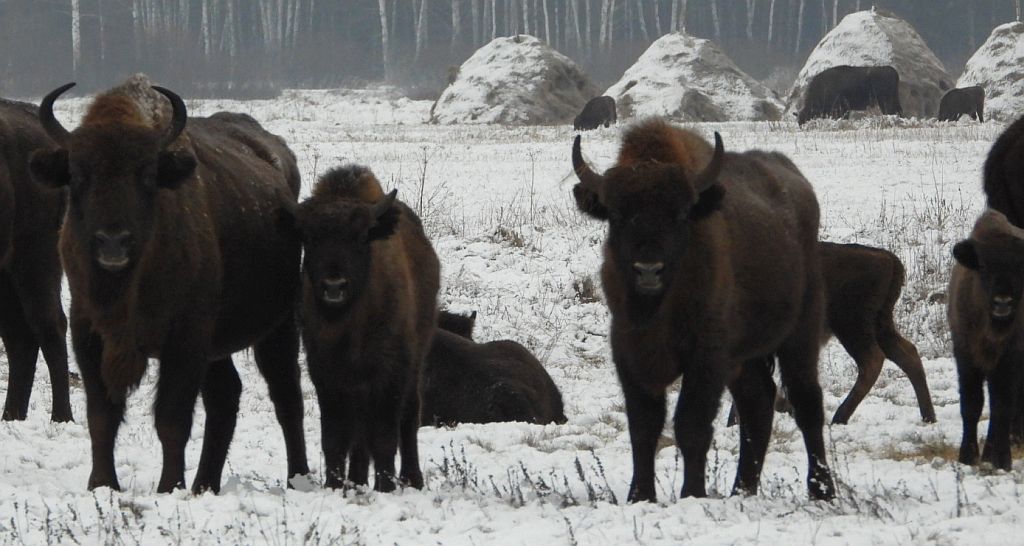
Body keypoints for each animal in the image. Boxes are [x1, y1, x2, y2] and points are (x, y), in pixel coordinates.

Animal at [29, 78, 309, 493]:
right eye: (77, 175)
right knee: (226, 396)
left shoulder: (185, 340)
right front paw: (102, 484)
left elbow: (172, 419)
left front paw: (169, 486)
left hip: (278, 327)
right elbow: (102, 415)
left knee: (286, 394)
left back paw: (296, 477)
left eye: (147, 176)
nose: (113, 243)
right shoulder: (88, 334)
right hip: (220, 346)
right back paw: (205, 484)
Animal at [283, 165, 439, 492]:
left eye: (361, 236)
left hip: (415, 362)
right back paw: (356, 480)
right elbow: (335, 437)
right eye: (309, 237)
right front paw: (334, 484)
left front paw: (385, 486)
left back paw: (411, 479)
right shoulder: (326, 375)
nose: (334, 286)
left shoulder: (390, 373)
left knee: (408, 417)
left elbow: (384, 436)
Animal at [571, 120, 835, 502]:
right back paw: (742, 490)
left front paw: (692, 494)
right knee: (758, 404)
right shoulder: (628, 353)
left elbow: (691, 424)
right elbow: (643, 427)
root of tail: (797, 183)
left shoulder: (707, 356)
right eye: (618, 215)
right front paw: (640, 496)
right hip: (745, 359)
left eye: (680, 214)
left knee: (806, 402)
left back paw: (822, 490)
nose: (648, 270)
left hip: (800, 332)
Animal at [949, 210, 1024, 470]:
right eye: (982, 265)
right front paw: (967, 457)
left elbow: (1001, 406)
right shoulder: (966, 357)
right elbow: (972, 405)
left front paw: (1001, 461)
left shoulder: (1009, 361)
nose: (1003, 301)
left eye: (1020, 266)